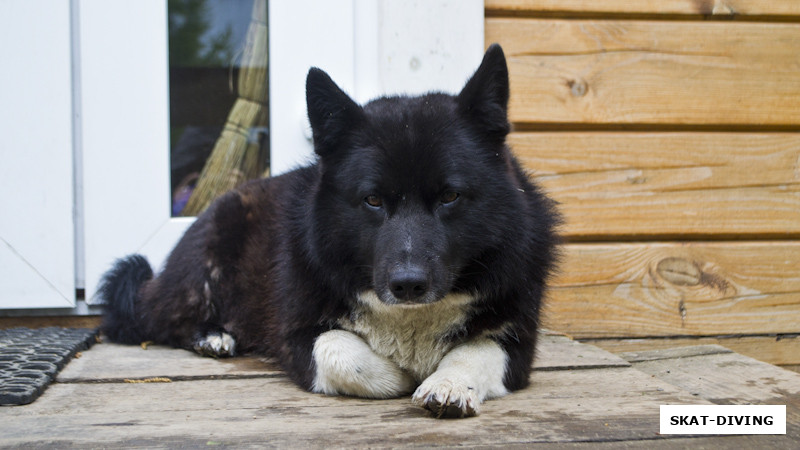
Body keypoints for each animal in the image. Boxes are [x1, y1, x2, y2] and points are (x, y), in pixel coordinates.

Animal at [100, 44, 560, 416]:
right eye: (372, 200)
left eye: (450, 196)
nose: (408, 284)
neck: (411, 318)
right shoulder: (296, 337)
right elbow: (343, 352)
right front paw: (402, 376)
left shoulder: (517, 344)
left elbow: (475, 352)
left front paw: (447, 384)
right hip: (203, 271)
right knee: (157, 319)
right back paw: (211, 336)